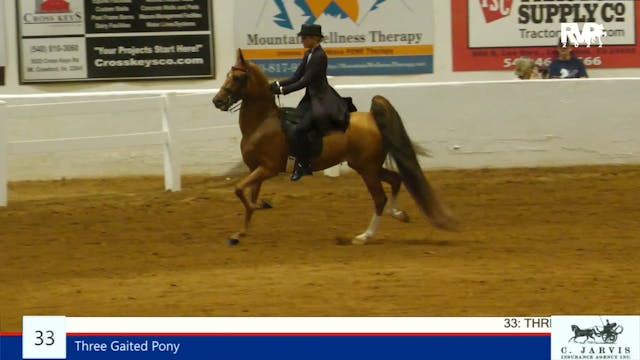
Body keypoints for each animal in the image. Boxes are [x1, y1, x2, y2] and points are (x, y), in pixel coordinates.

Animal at [212, 50, 452, 245]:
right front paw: (240, 233)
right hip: (367, 166)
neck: (262, 123)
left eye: (237, 77)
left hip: (367, 169)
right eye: (227, 74)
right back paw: (399, 214)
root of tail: (373, 118)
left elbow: (239, 190)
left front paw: (256, 209)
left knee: (380, 198)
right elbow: (248, 196)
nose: (217, 101)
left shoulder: (267, 169)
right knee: (395, 179)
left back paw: (364, 237)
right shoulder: (256, 170)